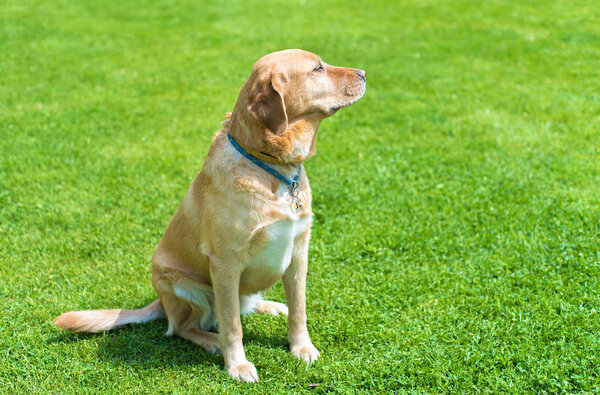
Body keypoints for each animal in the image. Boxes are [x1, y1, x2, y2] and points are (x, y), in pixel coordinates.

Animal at [55, 49, 366, 384]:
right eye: (317, 68)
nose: (364, 73)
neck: (270, 167)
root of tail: (162, 302)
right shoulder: (225, 265)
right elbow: (232, 326)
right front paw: (237, 365)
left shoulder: (298, 253)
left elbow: (299, 310)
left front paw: (301, 347)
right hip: (183, 284)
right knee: (182, 328)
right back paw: (210, 340)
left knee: (246, 305)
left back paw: (269, 306)